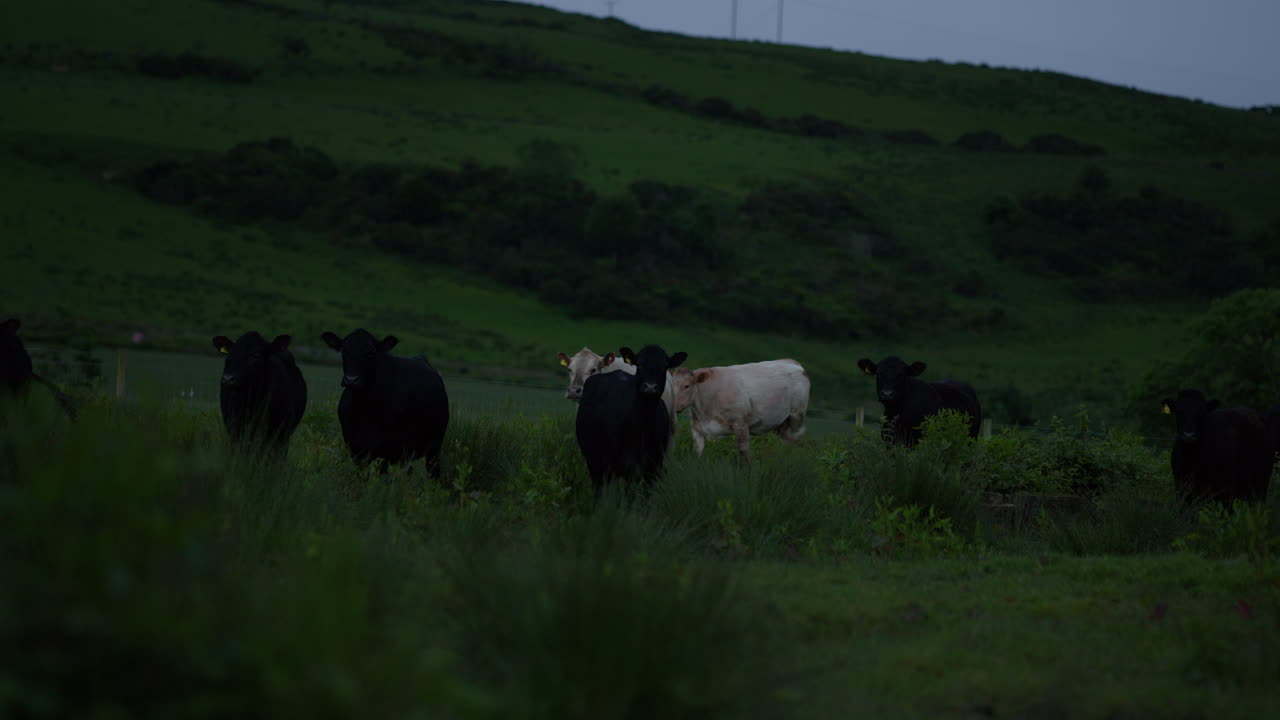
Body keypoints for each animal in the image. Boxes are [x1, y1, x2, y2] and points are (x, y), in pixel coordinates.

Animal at [321, 329, 449, 477]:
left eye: (370, 353)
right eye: (343, 351)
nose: (351, 380)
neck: (363, 409)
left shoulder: (388, 449)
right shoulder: (355, 447)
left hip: (433, 447)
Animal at [575, 344, 686, 497]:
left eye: (664, 366)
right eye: (639, 364)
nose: (650, 387)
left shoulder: (654, 465)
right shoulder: (626, 465)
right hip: (595, 460)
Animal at [667, 359, 810, 462]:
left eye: (686, 386)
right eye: (670, 385)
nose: (673, 406)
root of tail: (793, 362)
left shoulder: (741, 424)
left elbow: (743, 451)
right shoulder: (696, 426)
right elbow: (697, 450)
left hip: (797, 415)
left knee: (795, 437)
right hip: (782, 422)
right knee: (786, 439)